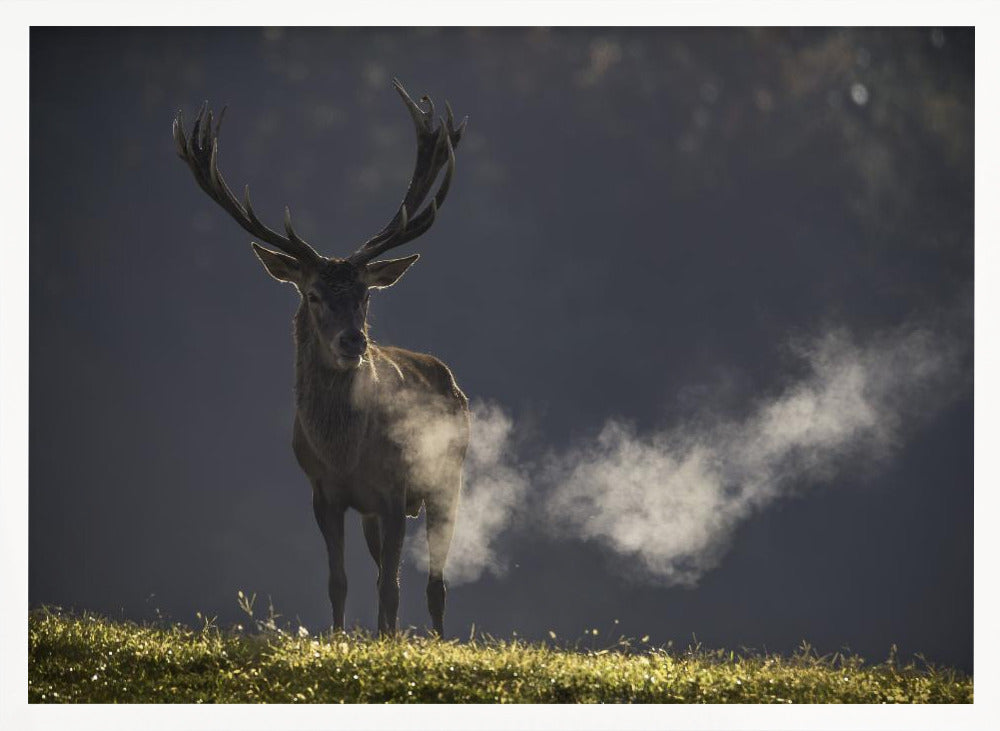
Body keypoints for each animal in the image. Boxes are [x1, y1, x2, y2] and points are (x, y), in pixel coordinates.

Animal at [172, 80, 470, 637]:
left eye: (366, 295)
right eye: (312, 295)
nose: (354, 342)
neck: (344, 451)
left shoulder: (395, 490)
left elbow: (393, 587)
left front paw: (389, 645)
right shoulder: (323, 492)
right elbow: (341, 581)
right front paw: (340, 640)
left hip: (447, 476)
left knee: (435, 582)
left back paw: (436, 640)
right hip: (378, 510)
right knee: (388, 573)